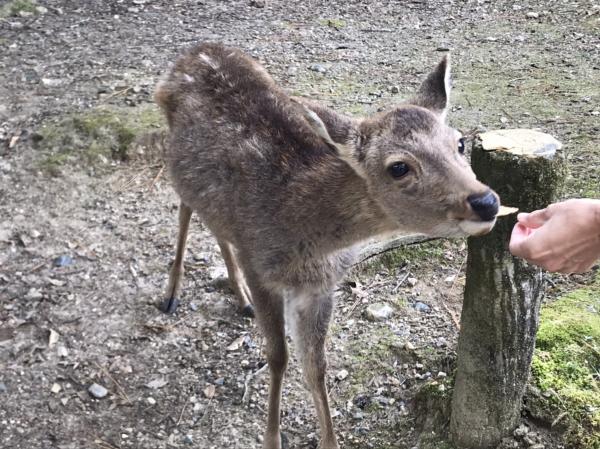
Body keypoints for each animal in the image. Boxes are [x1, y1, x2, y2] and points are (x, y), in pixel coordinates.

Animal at [154, 43, 496, 448]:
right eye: (398, 167)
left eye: (459, 142)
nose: (486, 201)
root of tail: (194, 51)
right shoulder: (260, 265)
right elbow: (278, 356)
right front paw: (272, 439)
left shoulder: (321, 285)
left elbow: (316, 366)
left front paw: (329, 440)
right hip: (176, 165)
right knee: (185, 209)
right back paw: (171, 293)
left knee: (216, 226)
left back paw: (239, 297)